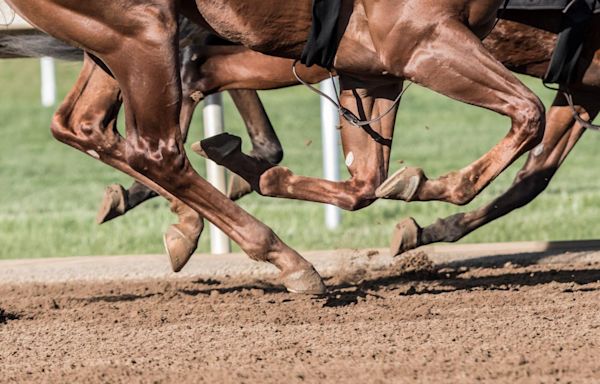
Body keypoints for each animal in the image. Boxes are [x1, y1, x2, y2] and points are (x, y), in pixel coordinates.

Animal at [4, 0, 548, 292]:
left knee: (83, 125)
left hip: (112, 41)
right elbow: (530, 113)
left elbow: (366, 180)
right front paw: (441, 186)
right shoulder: (421, 39)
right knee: (156, 150)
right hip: (142, 30)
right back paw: (287, 260)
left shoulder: (373, 67)